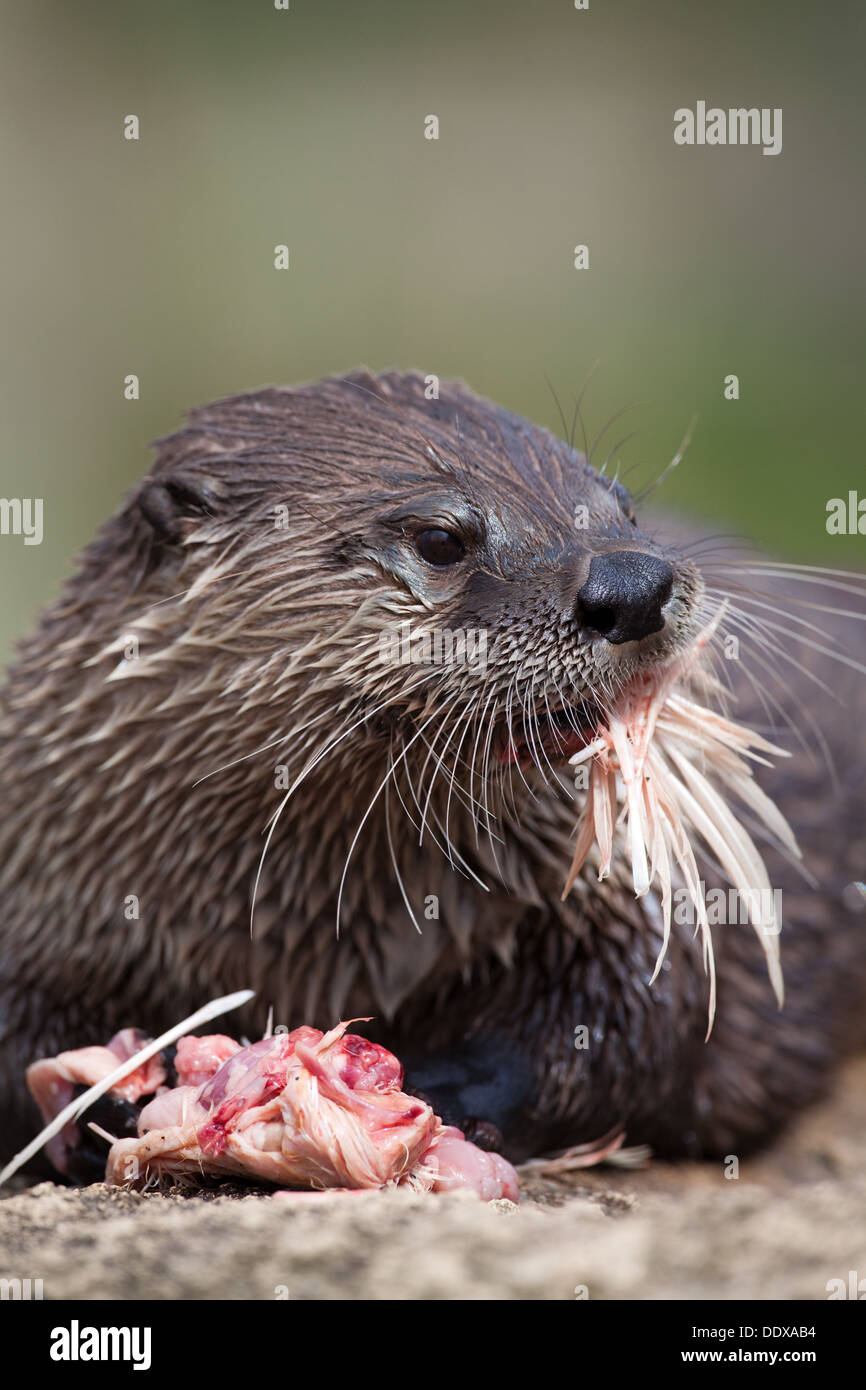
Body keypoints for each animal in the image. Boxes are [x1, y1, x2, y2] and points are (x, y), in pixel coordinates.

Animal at [1, 369, 866, 1173]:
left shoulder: (621, 895)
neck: (321, 932)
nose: (634, 584)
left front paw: (443, 1085)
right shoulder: (41, 863)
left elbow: (632, 1012)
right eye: (441, 539)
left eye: (622, 507)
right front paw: (92, 1097)